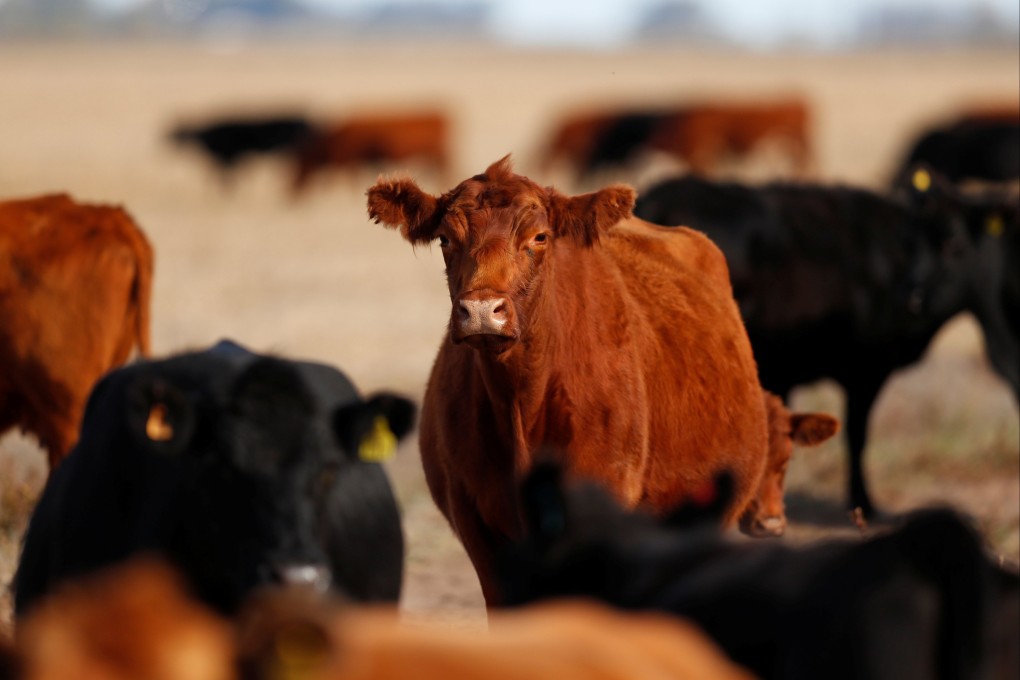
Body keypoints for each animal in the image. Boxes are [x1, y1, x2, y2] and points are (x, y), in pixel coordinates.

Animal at [634, 170, 1019, 517]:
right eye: (909, 243)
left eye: (953, 243)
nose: (911, 297)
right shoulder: (866, 370)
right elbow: (856, 435)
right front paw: (864, 504)